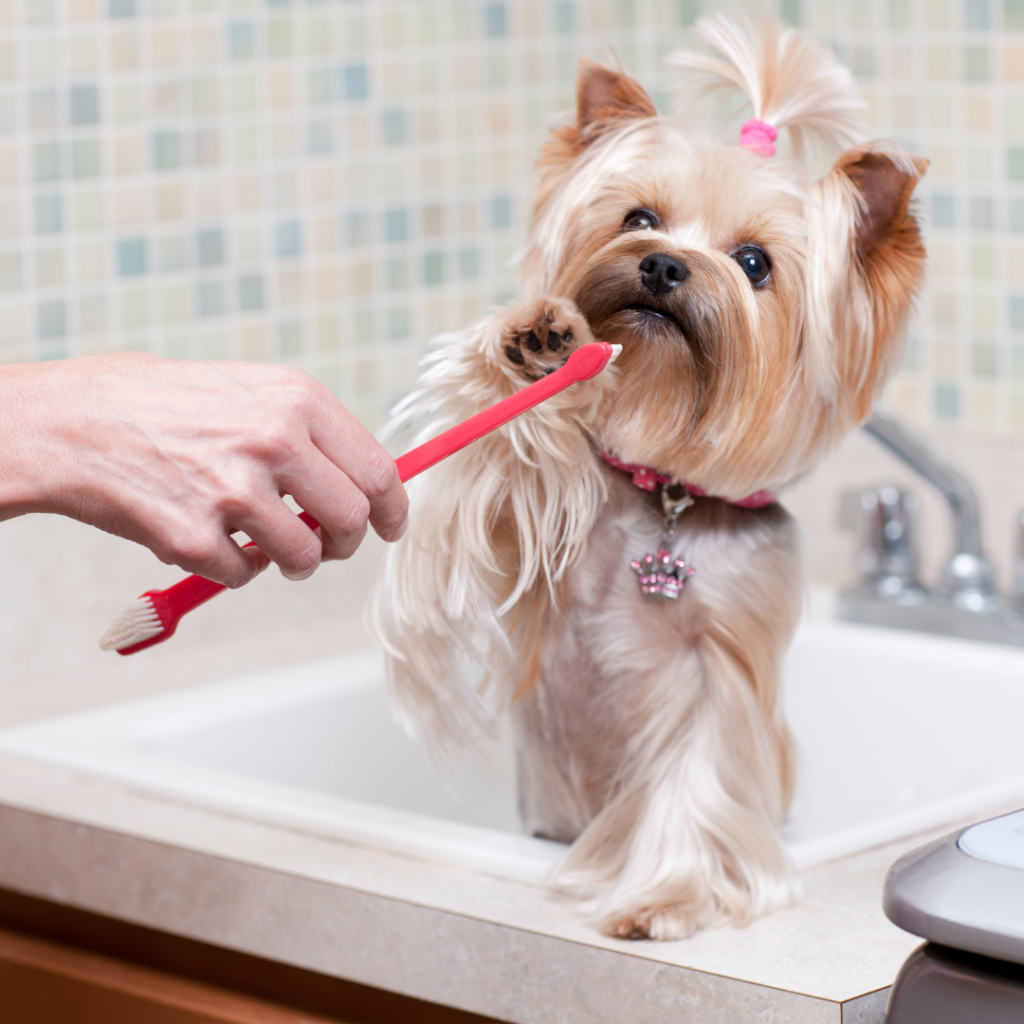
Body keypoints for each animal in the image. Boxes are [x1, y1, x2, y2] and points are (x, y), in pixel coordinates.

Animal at [370, 18, 929, 942]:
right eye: (639, 216)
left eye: (754, 262)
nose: (664, 266)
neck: (664, 493)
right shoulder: (517, 526)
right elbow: (496, 457)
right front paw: (532, 342)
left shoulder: (723, 660)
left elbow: (698, 774)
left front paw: (664, 899)